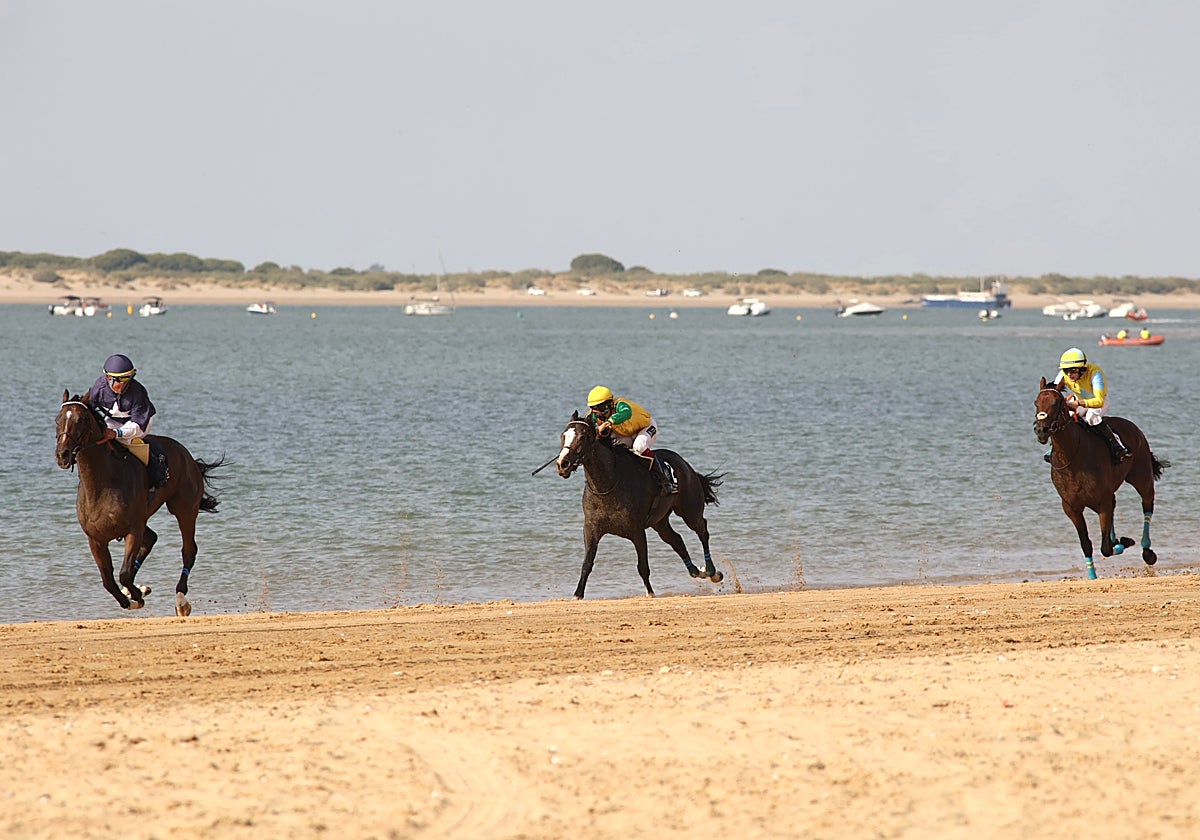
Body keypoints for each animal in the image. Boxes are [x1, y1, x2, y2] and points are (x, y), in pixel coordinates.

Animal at [55, 390, 225, 614]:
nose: (63, 455)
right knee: (151, 538)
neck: (102, 485)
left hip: (184, 509)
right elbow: (108, 580)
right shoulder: (96, 539)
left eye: (81, 419)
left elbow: (124, 574)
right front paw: (133, 595)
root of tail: (188, 457)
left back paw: (181, 600)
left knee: (189, 550)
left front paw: (136, 596)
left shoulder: (133, 529)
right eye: (58, 420)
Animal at [555, 411, 725, 599]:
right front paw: (578, 594)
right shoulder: (591, 528)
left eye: (583, 436)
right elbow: (587, 563)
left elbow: (643, 566)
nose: (562, 464)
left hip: (690, 511)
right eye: (563, 436)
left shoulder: (637, 530)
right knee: (676, 540)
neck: (608, 484)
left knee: (702, 531)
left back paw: (712, 572)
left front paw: (650, 593)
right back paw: (696, 571)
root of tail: (687, 466)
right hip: (660, 522)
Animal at [1033, 377, 1168, 580]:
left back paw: (1147, 551)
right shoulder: (1071, 508)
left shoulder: (1102, 502)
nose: (1041, 430)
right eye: (1036, 403)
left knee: (1147, 505)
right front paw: (1092, 575)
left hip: (1141, 477)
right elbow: (1086, 544)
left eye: (1056, 403)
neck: (1072, 457)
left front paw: (1123, 542)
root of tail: (1132, 426)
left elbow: (1105, 548)